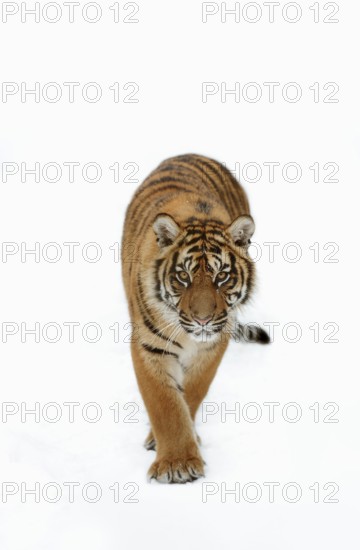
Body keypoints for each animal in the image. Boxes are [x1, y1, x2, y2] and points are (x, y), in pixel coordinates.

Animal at [121, 153, 268, 486]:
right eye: (183, 277)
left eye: (222, 277)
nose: (202, 320)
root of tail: (191, 154)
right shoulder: (149, 346)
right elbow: (164, 404)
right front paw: (176, 464)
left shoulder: (214, 344)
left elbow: (191, 393)